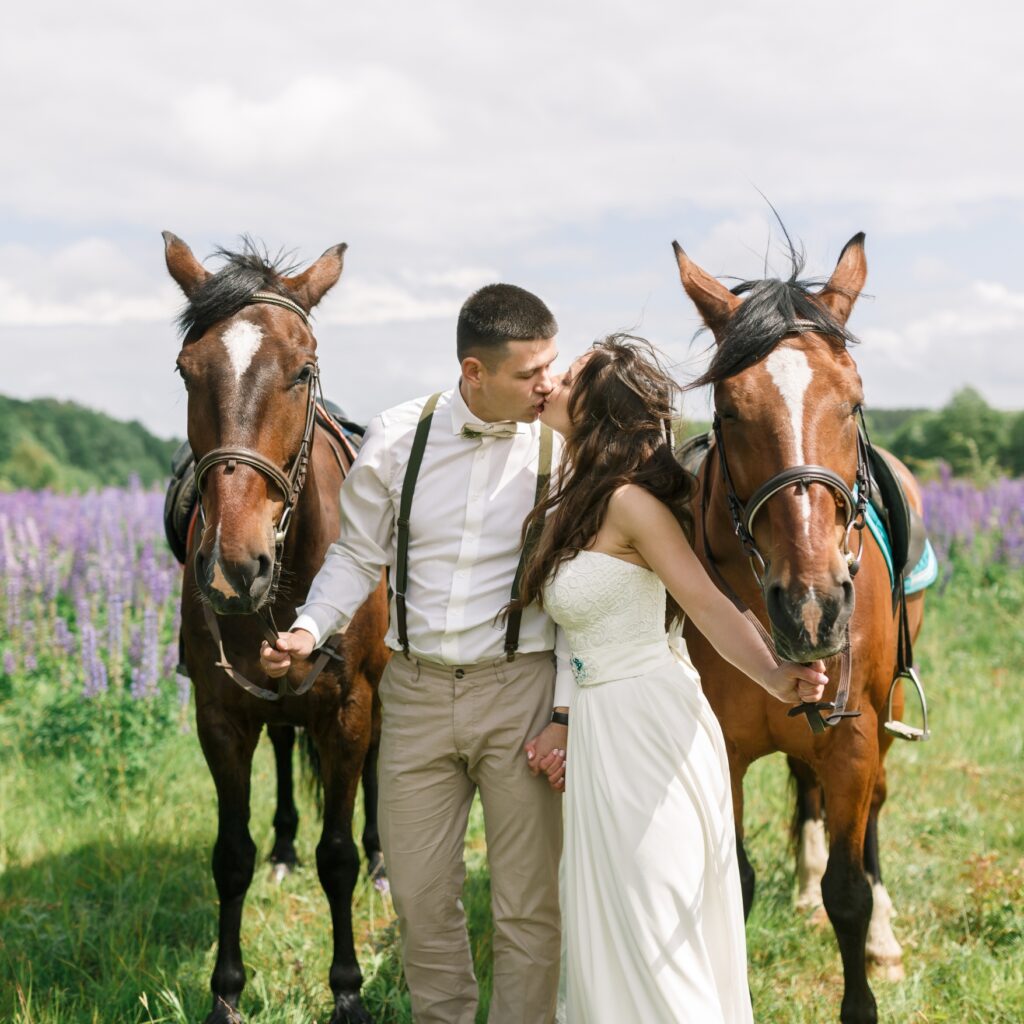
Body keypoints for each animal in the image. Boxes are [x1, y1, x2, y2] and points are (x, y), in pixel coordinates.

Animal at [165, 235, 389, 1024]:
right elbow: (229, 856)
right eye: (187, 369)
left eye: (302, 369)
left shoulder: (349, 707)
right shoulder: (220, 714)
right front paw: (225, 993)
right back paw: (285, 851)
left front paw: (348, 991)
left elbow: (339, 857)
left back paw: (383, 859)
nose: (235, 566)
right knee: (288, 750)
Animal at [671, 235, 929, 1024]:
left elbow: (849, 890)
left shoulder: (852, 737)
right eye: (728, 411)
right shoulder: (723, 748)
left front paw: (865, 954)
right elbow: (737, 881)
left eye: (855, 401)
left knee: (872, 817)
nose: (812, 607)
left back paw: (883, 938)